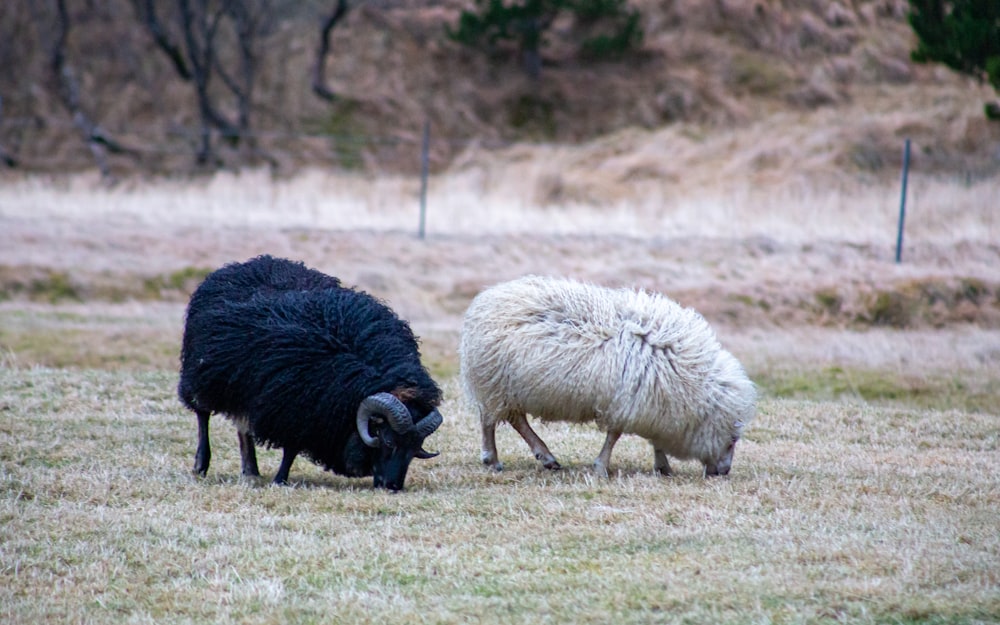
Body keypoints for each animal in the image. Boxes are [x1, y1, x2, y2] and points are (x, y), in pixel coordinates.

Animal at [178, 256, 444, 490]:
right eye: (388, 440)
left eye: (415, 447)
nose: (393, 486)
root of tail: (245, 265)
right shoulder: (294, 407)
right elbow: (291, 448)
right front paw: (280, 480)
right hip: (202, 373)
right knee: (202, 414)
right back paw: (201, 466)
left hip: (243, 385)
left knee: (243, 425)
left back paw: (251, 470)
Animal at [458, 276, 752, 476]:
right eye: (732, 439)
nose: (723, 472)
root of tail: (485, 299)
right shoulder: (629, 402)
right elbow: (615, 435)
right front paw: (602, 466)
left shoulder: (651, 405)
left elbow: (652, 439)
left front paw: (662, 466)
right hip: (495, 384)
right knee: (491, 421)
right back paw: (495, 459)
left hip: (506, 389)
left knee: (514, 420)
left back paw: (544, 456)